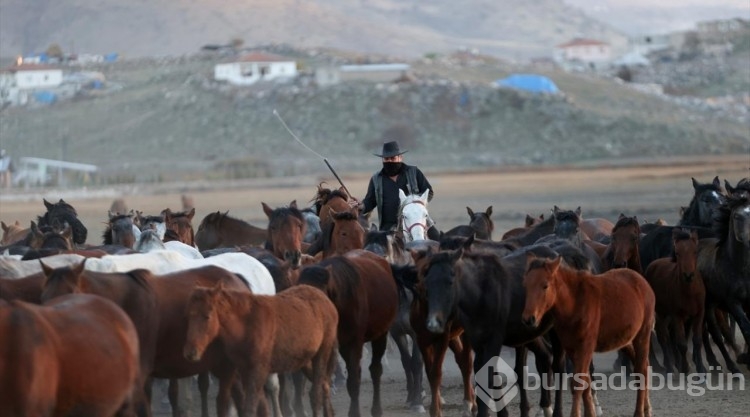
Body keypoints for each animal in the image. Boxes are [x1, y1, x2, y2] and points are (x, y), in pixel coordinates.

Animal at [185, 282, 340, 414]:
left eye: (207, 316)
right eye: (189, 316)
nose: (190, 352)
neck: (246, 324)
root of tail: (326, 301)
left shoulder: (258, 370)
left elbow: (251, 407)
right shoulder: (245, 370)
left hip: (322, 354)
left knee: (316, 394)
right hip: (306, 361)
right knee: (325, 386)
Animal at [298, 249, 402, 416]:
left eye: (318, 297)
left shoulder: (354, 342)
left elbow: (353, 380)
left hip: (381, 334)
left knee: (375, 369)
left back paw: (376, 409)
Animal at [524, 254, 656, 416]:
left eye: (545, 285)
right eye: (526, 285)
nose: (529, 319)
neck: (575, 303)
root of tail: (643, 282)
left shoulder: (585, 347)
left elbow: (578, 383)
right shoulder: (572, 349)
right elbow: (584, 383)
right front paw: (590, 412)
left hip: (642, 335)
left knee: (642, 369)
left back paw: (639, 412)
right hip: (625, 341)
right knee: (643, 368)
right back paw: (647, 408)